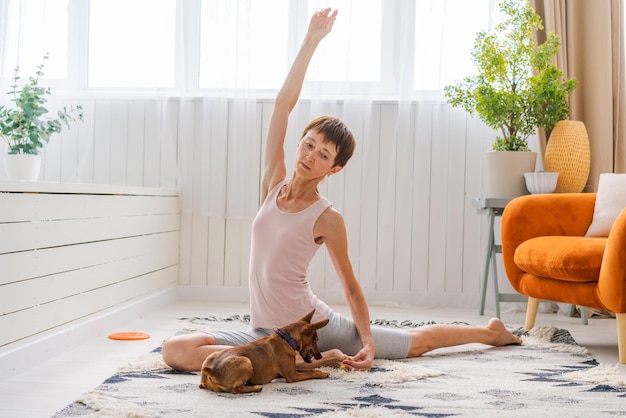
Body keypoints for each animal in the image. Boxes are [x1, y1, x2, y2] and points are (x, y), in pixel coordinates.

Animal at [197, 308, 330, 394]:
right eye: (316, 340)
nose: (320, 356)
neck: (287, 339)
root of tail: (212, 371)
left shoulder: (290, 370)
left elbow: (310, 369)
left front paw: (321, 371)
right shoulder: (292, 376)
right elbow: (311, 373)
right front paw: (322, 374)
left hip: (212, 355)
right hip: (246, 361)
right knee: (235, 390)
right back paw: (256, 388)